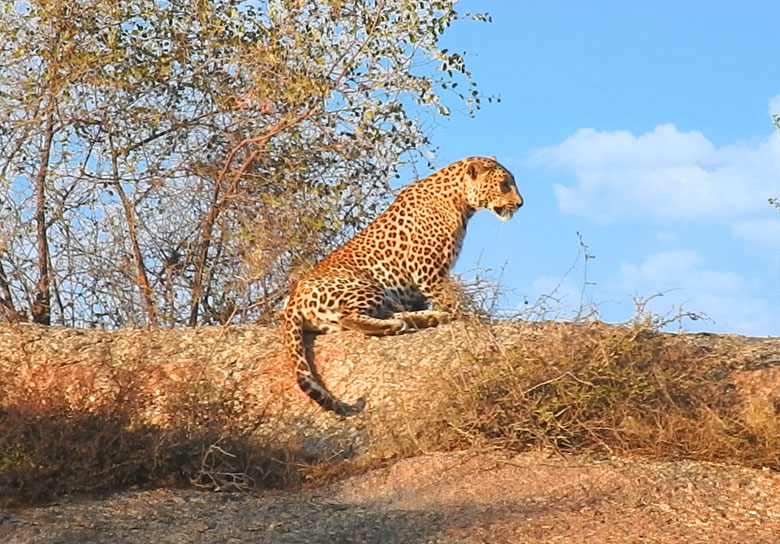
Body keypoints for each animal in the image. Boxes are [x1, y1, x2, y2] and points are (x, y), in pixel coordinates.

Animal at [282, 157, 524, 416]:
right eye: (503, 185)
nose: (521, 204)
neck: (459, 202)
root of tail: (292, 298)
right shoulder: (429, 273)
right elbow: (459, 303)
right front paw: (477, 319)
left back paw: (426, 319)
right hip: (367, 287)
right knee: (351, 318)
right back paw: (399, 324)